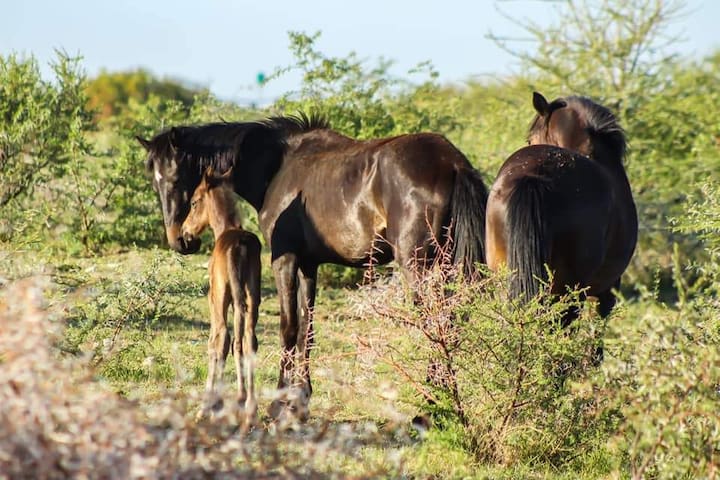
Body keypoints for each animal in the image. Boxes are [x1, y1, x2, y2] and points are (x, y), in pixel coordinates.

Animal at [138, 114, 486, 418]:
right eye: (153, 181)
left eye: (175, 179)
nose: (180, 240)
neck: (279, 164)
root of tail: (451, 163)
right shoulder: (309, 265)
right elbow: (308, 328)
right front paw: (301, 397)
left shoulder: (285, 260)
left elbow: (288, 328)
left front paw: (278, 402)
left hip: (418, 267)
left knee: (437, 326)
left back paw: (431, 402)